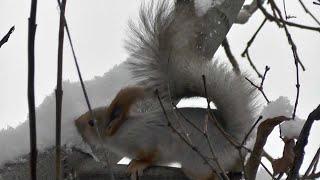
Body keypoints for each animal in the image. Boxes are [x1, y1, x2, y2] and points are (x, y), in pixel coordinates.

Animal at [74, 0, 260, 179]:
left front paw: (137, 165)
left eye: (92, 122)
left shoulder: (146, 140)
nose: (75, 122)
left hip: (198, 161)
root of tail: (232, 139)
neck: (120, 131)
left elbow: (151, 156)